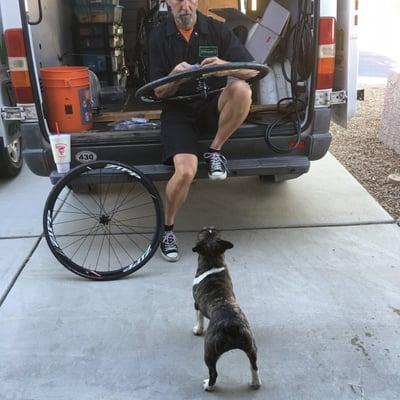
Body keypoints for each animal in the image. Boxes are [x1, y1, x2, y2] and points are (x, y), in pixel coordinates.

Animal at [191, 227, 260, 392]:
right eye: (210, 231)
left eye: (203, 231)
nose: (208, 226)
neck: (212, 260)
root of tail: (232, 325)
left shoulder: (197, 304)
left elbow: (199, 318)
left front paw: (198, 330)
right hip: (251, 346)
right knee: (254, 365)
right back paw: (255, 383)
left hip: (209, 350)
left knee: (213, 373)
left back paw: (208, 386)